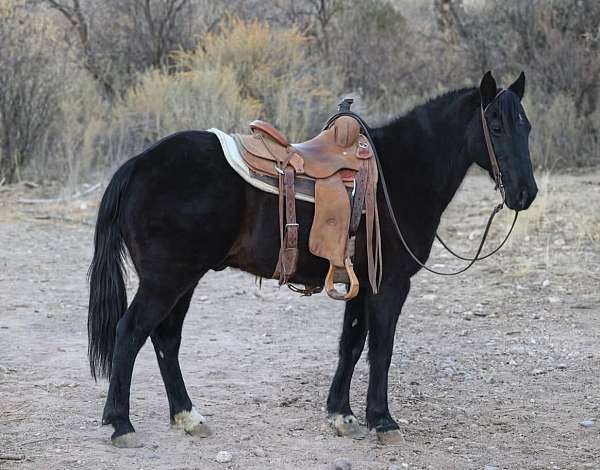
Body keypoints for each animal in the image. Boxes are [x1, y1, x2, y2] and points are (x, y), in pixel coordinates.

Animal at [88, 71, 536, 446]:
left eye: (526, 127)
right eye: (496, 126)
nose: (525, 193)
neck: (398, 174)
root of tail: (137, 166)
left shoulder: (361, 283)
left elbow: (351, 344)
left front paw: (342, 415)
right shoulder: (390, 283)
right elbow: (382, 348)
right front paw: (382, 420)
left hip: (184, 279)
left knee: (165, 338)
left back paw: (187, 416)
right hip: (167, 280)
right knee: (130, 332)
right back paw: (121, 423)